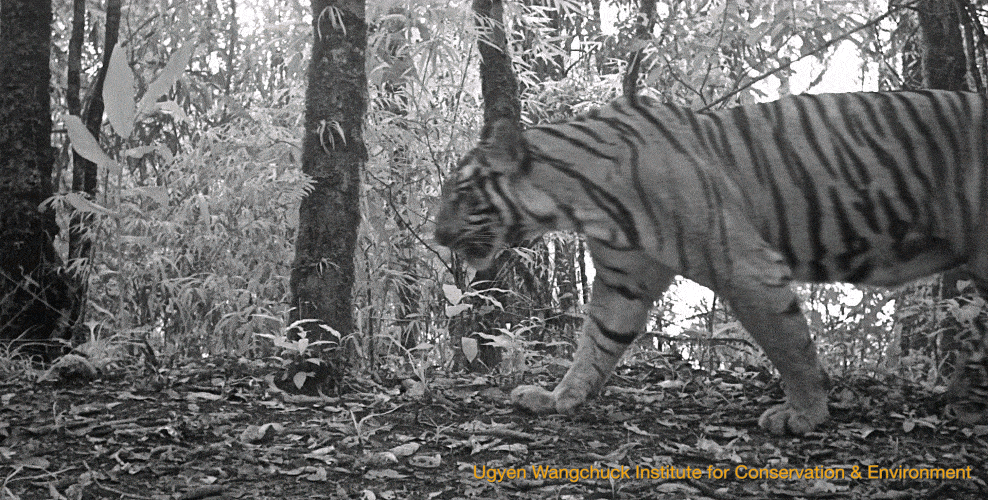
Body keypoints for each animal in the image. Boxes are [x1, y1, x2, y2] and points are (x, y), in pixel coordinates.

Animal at [434, 90, 988, 435]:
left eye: (461, 193)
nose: (436, 236)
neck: (581, 203)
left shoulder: (746, 266)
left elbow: (788, 344)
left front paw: (804, 414)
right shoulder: (624, 278)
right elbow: (597, 342)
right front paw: (560, 398)